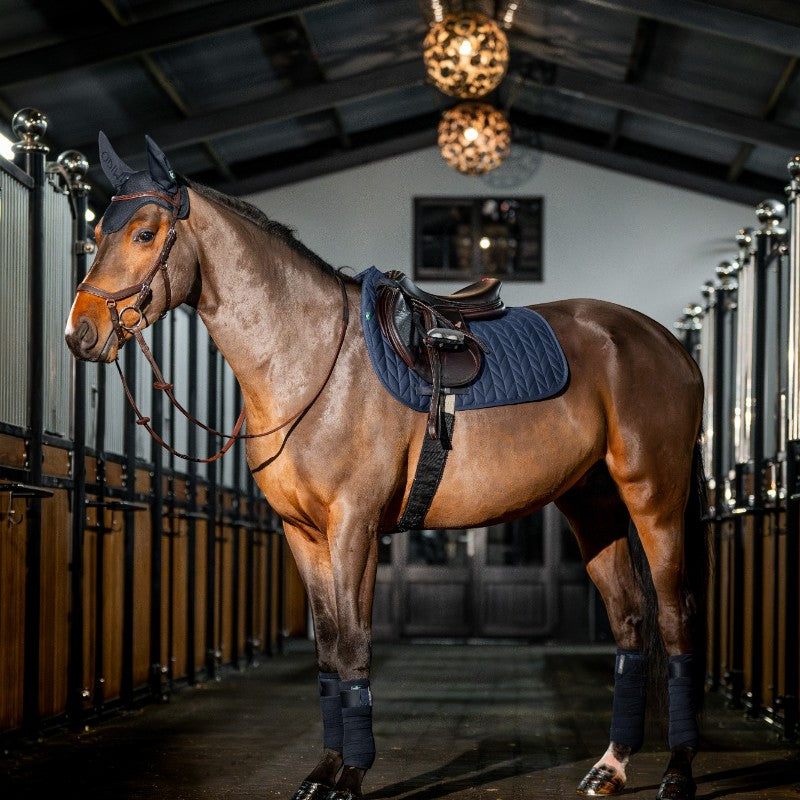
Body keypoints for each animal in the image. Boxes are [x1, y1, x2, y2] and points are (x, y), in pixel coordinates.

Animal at [66, 134, 708, 800]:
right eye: (97, 233)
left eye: (144, 233)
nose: (79, 332)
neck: (312, 361)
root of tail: (668, 344)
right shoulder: (305, 534)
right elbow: (329, 653)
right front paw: (323, 772)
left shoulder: (355, 527)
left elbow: (354, 645)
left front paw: (351, 775)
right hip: (594, 507)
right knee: (630, 622)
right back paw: (611, 767)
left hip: (655, 502)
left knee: (675, 618)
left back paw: (678, 771)